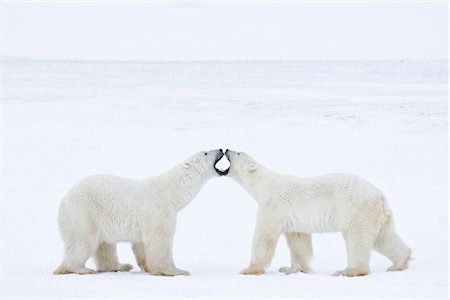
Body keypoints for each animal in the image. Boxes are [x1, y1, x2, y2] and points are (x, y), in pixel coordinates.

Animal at [54, 150, 227, 276]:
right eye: (205, 152)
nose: (220, 149)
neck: (171, 192)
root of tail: (63, 201)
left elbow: (141, 243)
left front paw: (147, 266)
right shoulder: (159, 210)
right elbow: (160, 240)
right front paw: (176, 271)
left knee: (105, 246)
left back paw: (121, 266)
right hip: (82, 213)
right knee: (82, 242)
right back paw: (81, 269)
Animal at [225, 149, 412, 276]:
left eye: (238, 152)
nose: (226, 150)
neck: (265, 185)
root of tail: (380, 196)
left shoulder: (272, 207)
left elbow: (264, 238)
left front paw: (249, 269)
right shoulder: (293, 219)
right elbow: (298, 241)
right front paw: (292, 269)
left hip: (355, 209)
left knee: (357, 239)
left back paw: (348, 270)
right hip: (378, 215)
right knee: (384, 237)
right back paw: (400, 263)